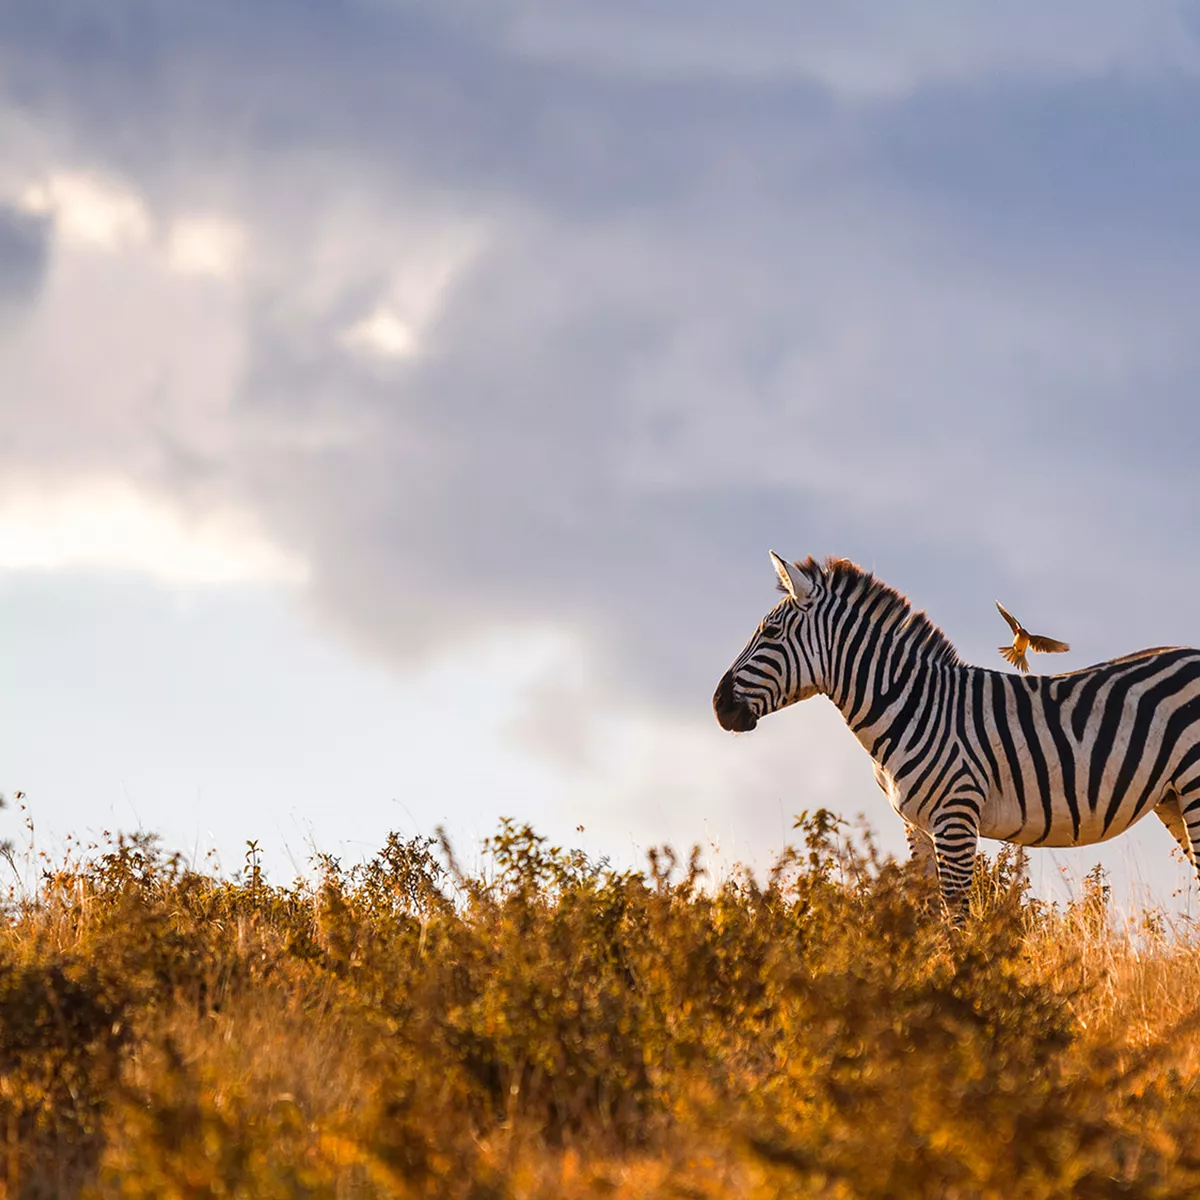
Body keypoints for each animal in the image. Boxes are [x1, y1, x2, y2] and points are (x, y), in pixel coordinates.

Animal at [712, 552, 1200, 915]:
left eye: (771, 631)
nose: (718, 705)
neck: (911, 705)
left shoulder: (956, 817)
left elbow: (957, 916)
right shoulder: (917, 825)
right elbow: (928, 909)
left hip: (1194, 785)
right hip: (1171, 797)